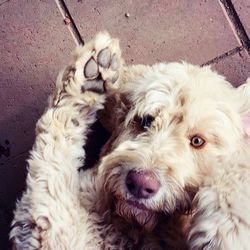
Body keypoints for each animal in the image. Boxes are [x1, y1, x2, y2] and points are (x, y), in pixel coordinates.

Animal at [9, 32, 250, 249]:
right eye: (145, 120)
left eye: (198, 141)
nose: (141, 184)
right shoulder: (55, 230)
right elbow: (51, 159)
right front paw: (88, 78)